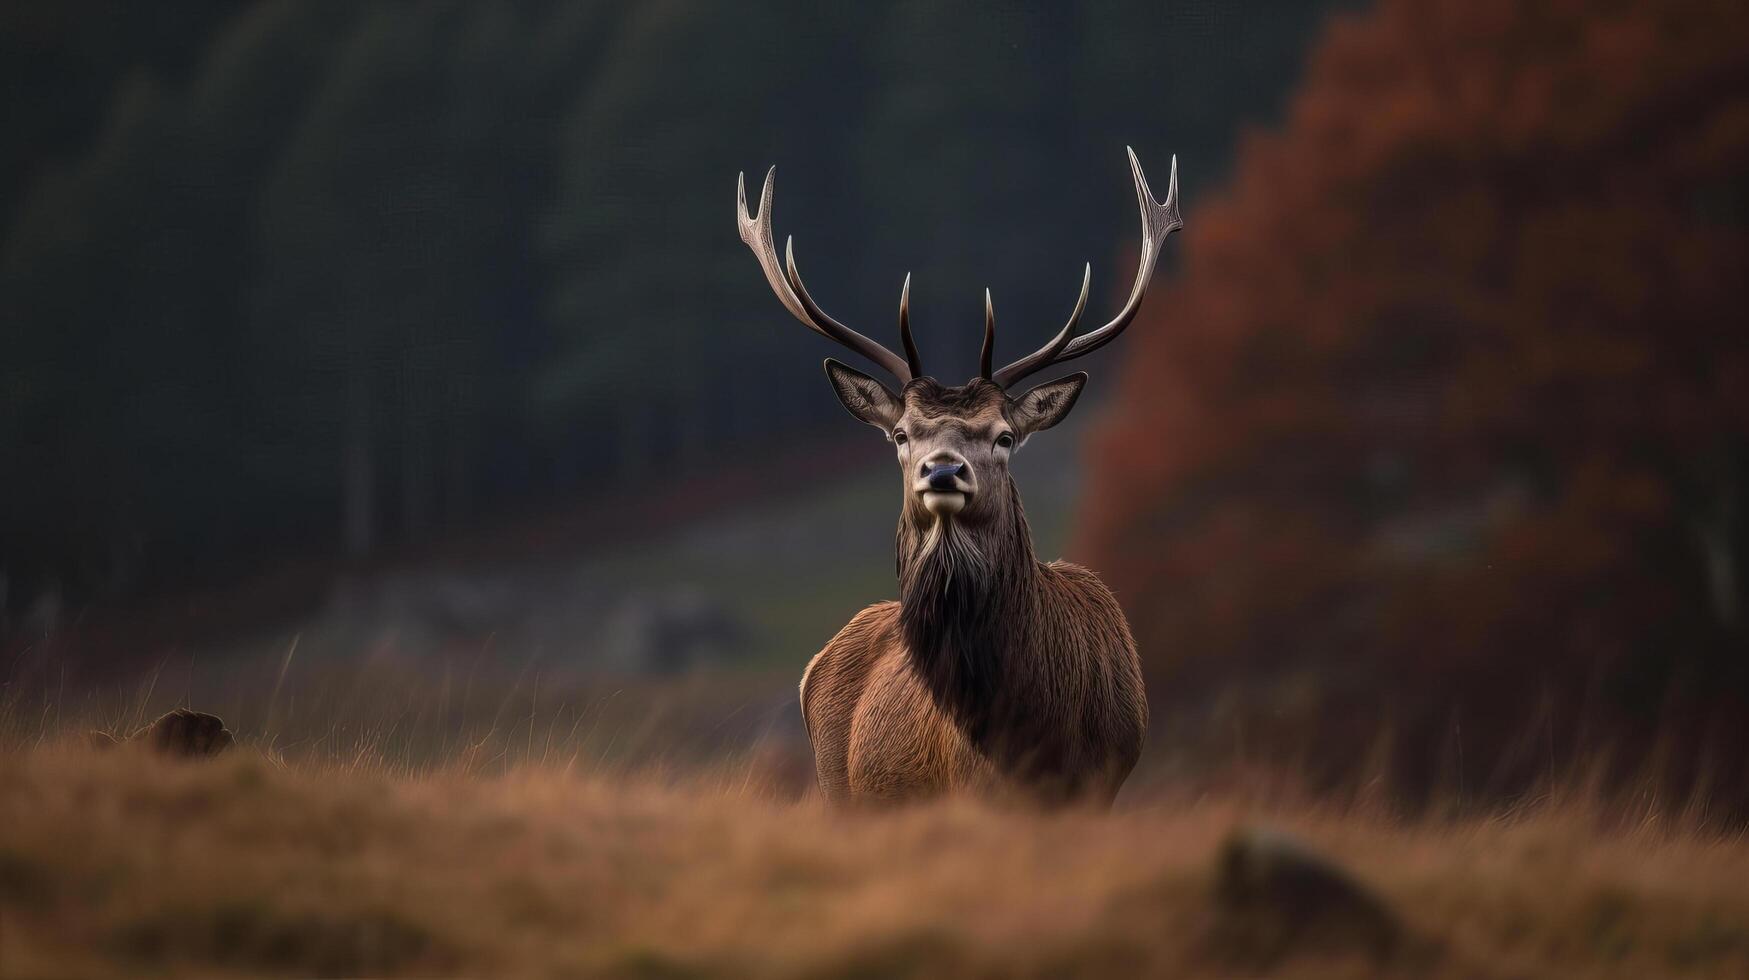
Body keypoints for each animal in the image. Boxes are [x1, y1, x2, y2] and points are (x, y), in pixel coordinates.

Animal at [731, 147, 1182, 805]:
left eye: (1004, 436)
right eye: (900, 434)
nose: (942, 469)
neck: (1034, 727)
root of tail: (813, 666)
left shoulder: (1107, 778)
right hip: (838, 789)